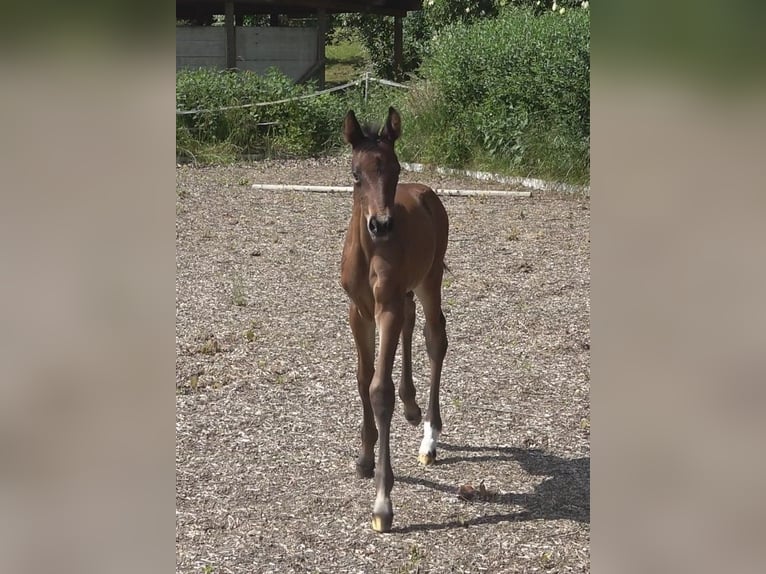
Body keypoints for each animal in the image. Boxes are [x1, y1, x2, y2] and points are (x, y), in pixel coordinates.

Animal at [340, 108, 450, 536]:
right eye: (356, 174)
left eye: (396, 168)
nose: (382, 225)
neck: (369, 250)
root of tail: (426, 192)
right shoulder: (359, 311)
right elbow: (362, 378)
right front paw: (364, 457)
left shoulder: (384, 307)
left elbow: (378, 389)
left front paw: (383, 504)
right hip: (406, 292)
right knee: (410, 323)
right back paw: (412, 406)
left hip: (429, 279)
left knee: (436, 338)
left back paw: (429, 440)